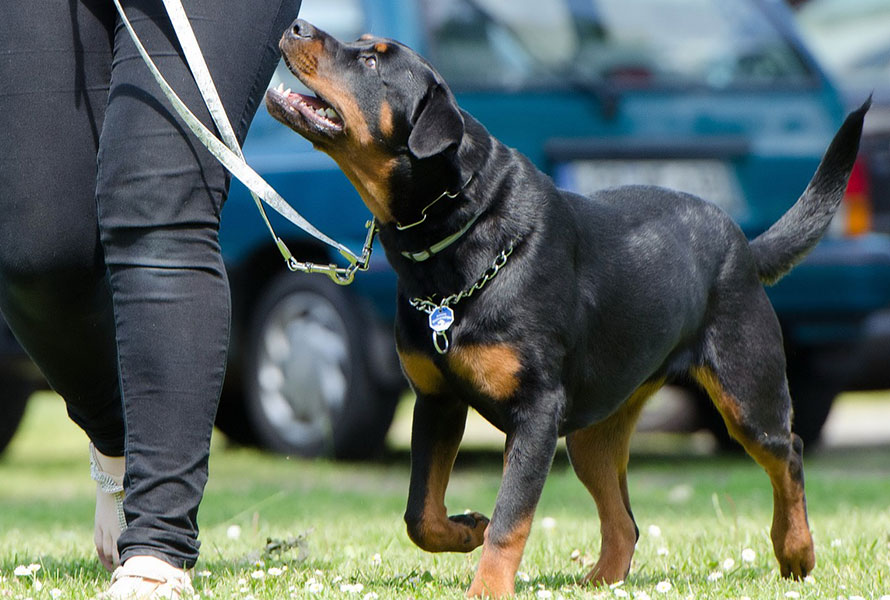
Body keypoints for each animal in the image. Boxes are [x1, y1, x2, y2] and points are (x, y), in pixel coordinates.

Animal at [266, 17, 868, 596]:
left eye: (372, 60)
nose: (296, 25)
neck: (456, 236)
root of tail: (744, 244)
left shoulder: (536, 412)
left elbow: (511, 519)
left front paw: (487, 587)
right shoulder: (437, 400)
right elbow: (421, 514)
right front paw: (466, 529)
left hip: (746, 388)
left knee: (787, 452)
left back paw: (796, 551)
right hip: (592, 432)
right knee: (625, 520)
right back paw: (601, 580)